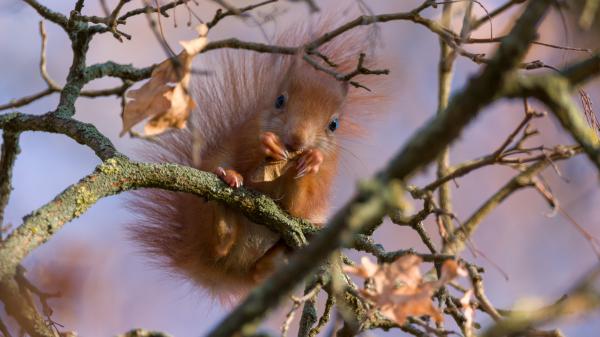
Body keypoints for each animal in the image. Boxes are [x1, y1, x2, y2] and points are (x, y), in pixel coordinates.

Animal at [127, 17, 384, 298]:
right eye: (279, 100)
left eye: (334, 125)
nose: (297, 140)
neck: (287, 162)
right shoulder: (246, 136)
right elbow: (250, 164)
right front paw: (268, 145)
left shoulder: (323, 179)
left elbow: (299, 207)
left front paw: (312, 159)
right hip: (204, 207)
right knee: (219, 243)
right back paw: (226, 199)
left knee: (263, 267)